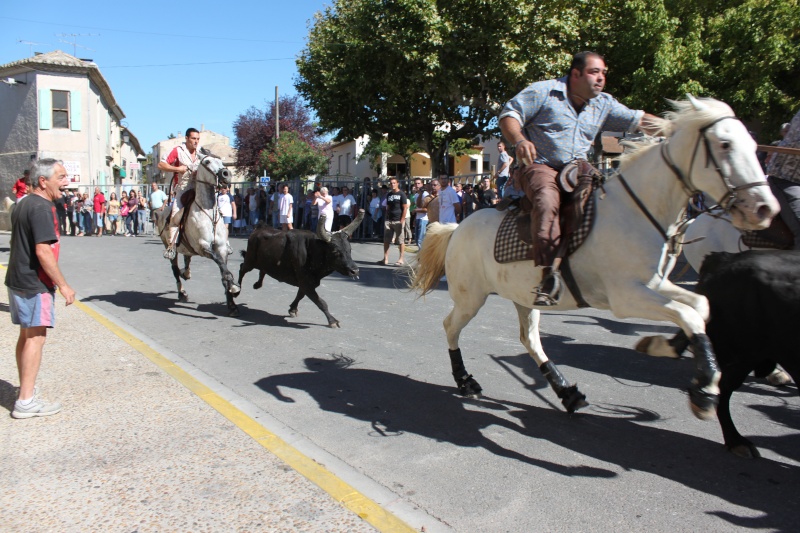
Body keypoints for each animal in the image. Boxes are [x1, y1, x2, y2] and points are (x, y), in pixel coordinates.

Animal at [153, 152, 241, 314]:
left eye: (221, 161)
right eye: (207, 162)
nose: (226, 173)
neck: (208, 213)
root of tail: (160, 213)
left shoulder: (222, 248)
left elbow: (223, 269)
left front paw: (231, 303)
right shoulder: (203, 247)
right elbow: (221, 266)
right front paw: (233, 287)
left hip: (187, 248)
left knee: (186, 261)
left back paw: (186, 273)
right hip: (170, 247)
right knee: (175, 269)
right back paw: (182, 293)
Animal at [236, 210, 364, 326]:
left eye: (349, 249)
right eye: (335, 252)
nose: (355, 271)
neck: (313, 251)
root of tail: (260, 227)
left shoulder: (307, 283)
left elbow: (300, 295)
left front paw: (293, 309)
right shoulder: (306, 283)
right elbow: (321, 302)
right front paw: (332, 321)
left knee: (262, 270)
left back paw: (257, 284)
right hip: (250, 260)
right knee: (242, 268)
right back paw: (237, 290)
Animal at [412, 96, 780, 420]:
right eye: (724, 144)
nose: (765, 208)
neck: (635, 211)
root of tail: (458, 227)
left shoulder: (655, 284)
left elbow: (699, 307)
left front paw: (664, 347)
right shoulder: (626, 296)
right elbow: (688, 315)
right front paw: (703, 391)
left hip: (523, 297)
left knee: (530, 340)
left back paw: (566, 392)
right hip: (470, 297)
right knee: (451, 327)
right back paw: (465, 380)